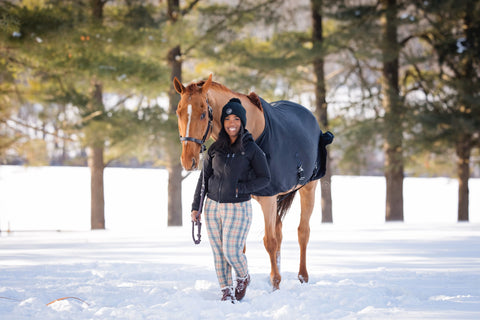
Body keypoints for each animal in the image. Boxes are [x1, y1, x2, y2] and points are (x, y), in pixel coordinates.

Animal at [173, 74, 334, 290]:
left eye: (203, 114)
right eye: (178, 112)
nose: (187, 161)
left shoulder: (268, 198)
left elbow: (269, 242)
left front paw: (275, 284)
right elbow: (241, 245)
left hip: (308, 189)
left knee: (303, 232)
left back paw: (302, 277)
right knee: (279, 230)